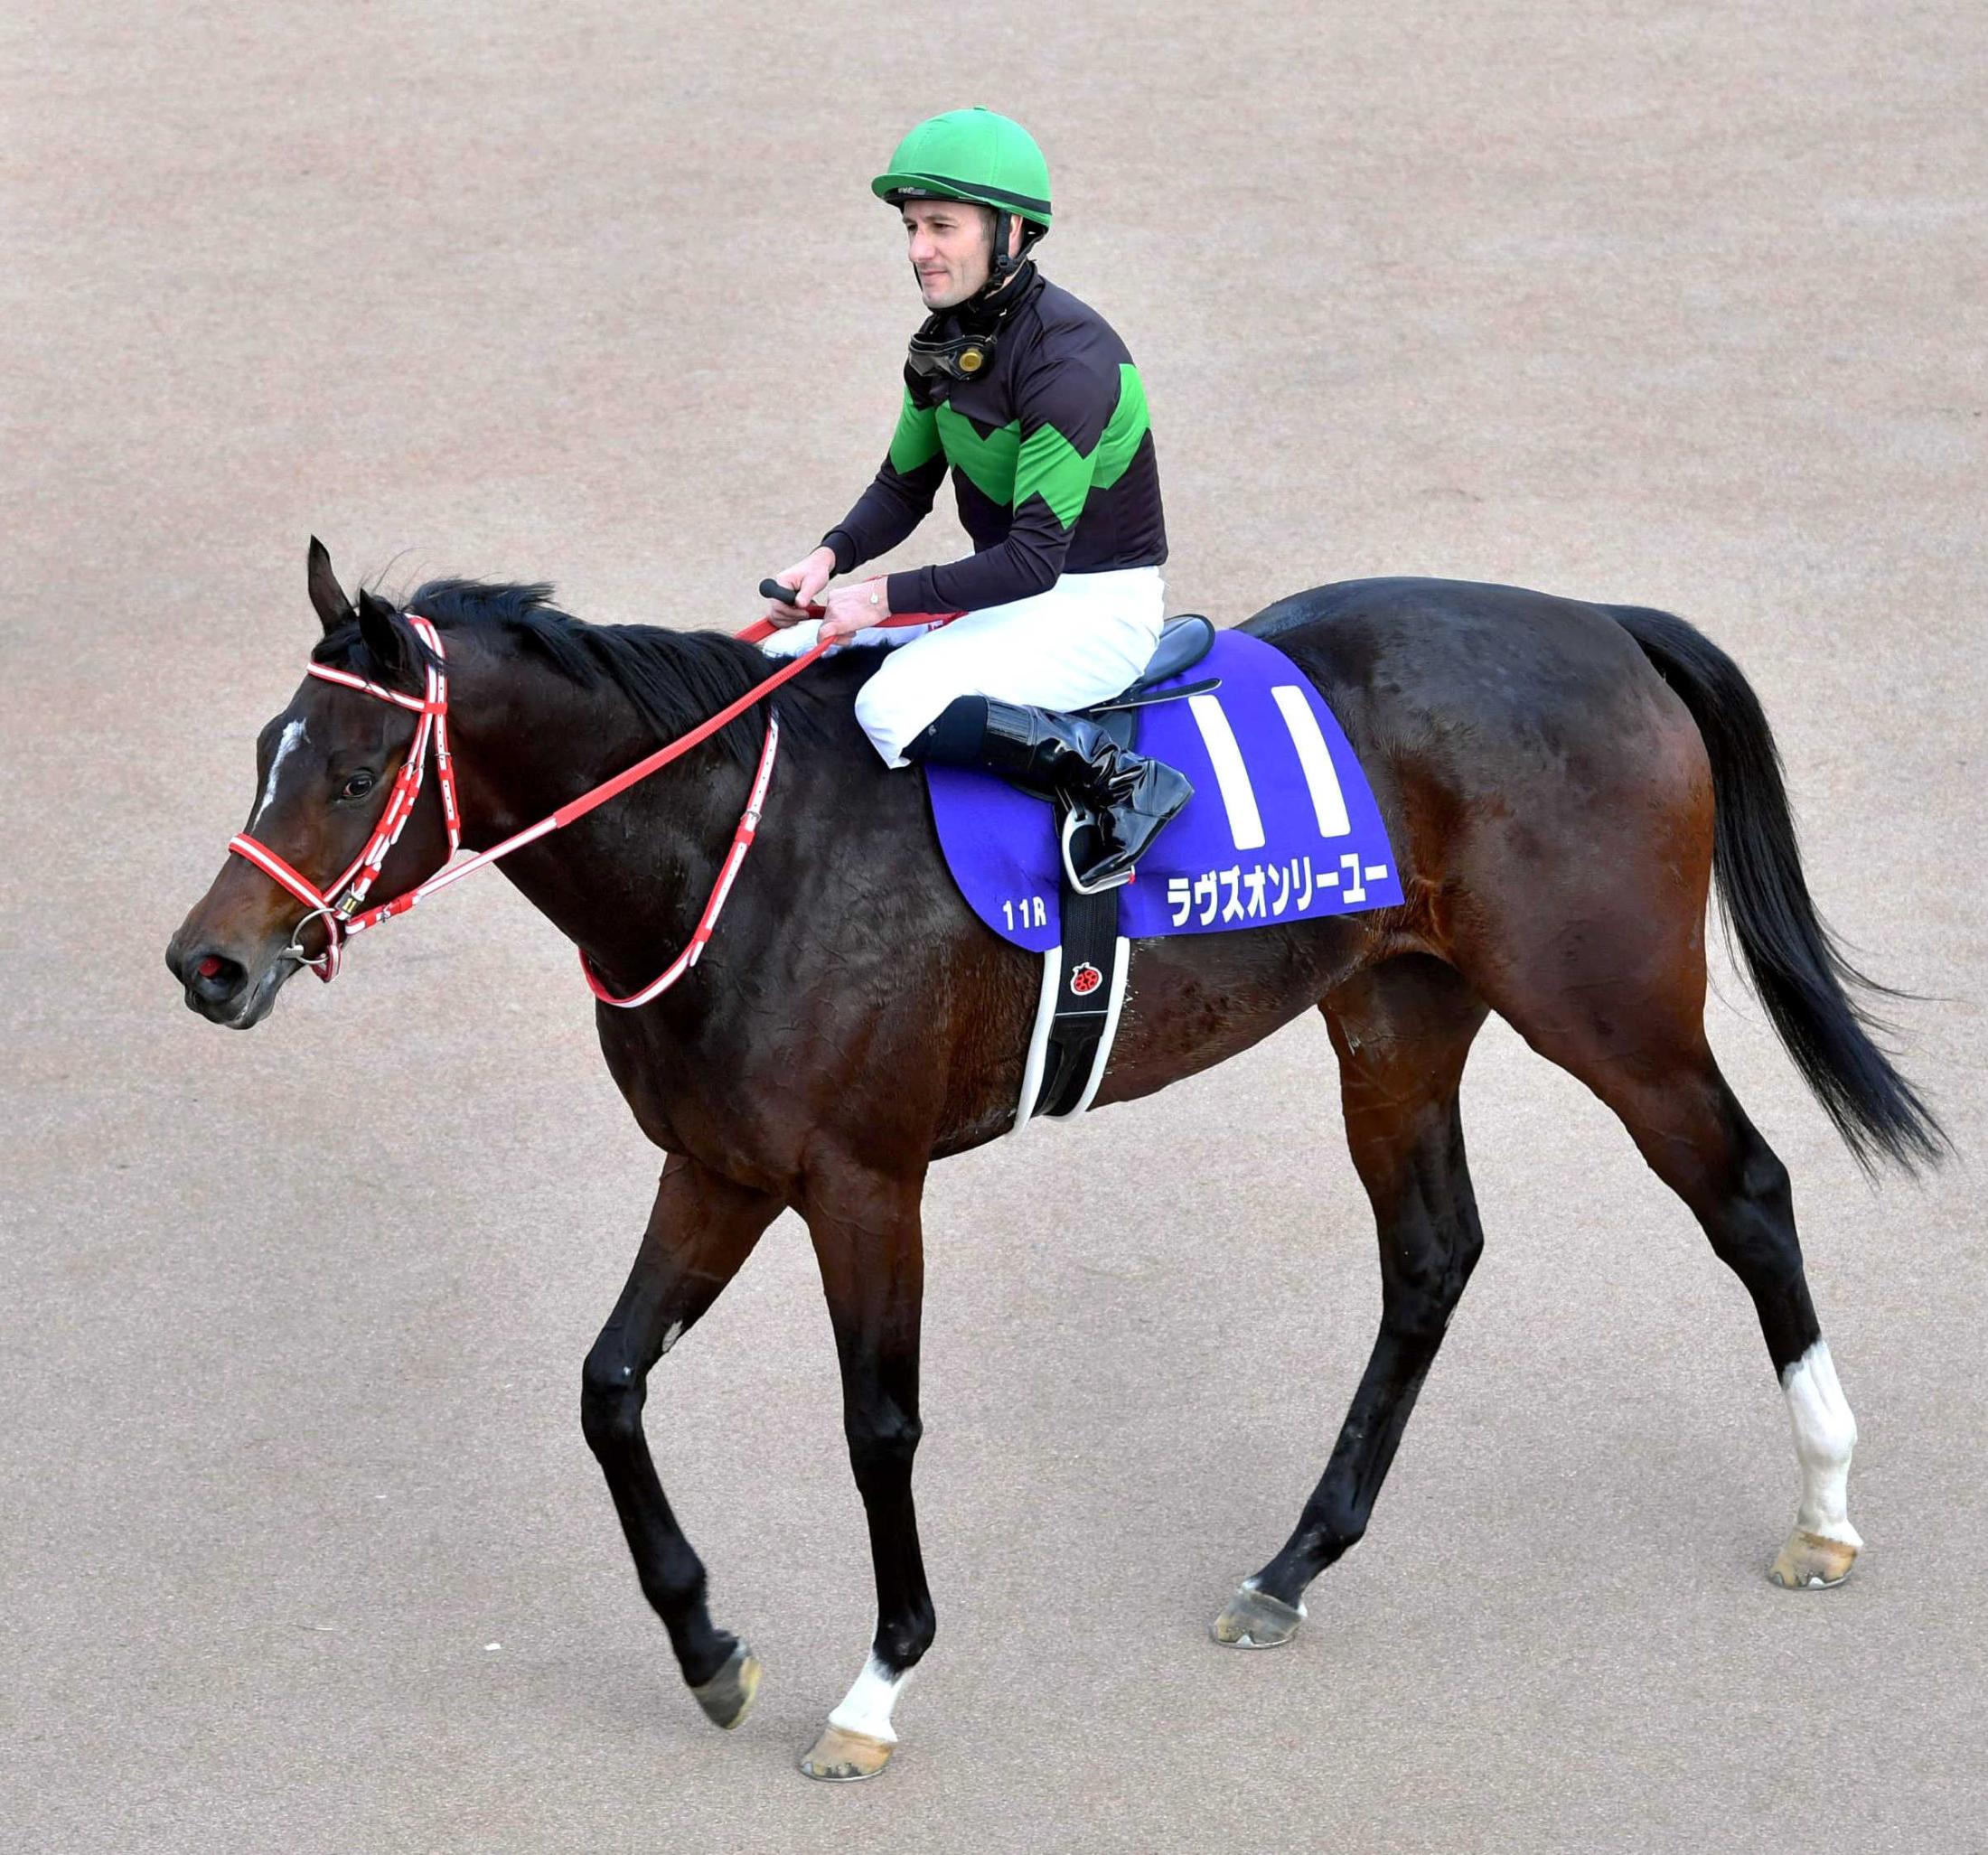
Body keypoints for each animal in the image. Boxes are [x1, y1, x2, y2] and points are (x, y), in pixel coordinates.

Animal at [166, 540, 1940, 1781]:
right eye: (261, 746)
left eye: (349, 771)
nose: (208, 964)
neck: (736, 853)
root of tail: (1597, 620)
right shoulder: (719, 1167)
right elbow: (608, 1385)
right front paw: (706, 1643)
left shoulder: (864, 1181)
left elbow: (879, 1423)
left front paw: (876, 1684)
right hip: (1396, 1011)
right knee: (1431, 1255)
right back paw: (1293, 1562)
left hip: (1607, 1005)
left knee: (1746, 1194)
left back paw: (1828, 1507)